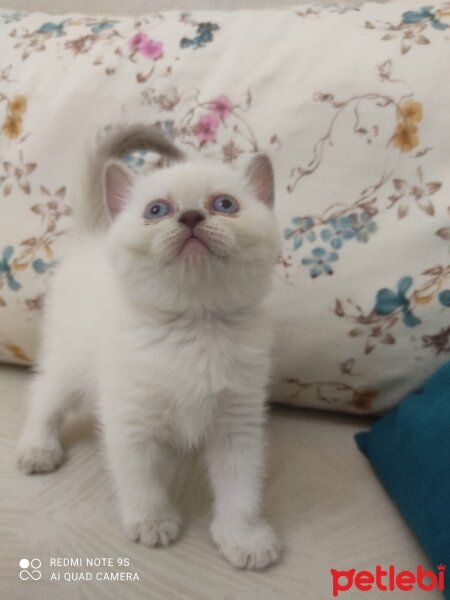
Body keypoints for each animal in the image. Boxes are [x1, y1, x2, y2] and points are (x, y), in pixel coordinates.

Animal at [18, 125, 284, 568]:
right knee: (44, 395)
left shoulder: (238, 422)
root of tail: (93, 236)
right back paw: (38, 447)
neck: (194, 327)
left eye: (224, 205)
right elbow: (137, 475)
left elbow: (240, 488)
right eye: (157, 210)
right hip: (68, 360)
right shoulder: (130, 416)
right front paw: (152, 521)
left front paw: (243, 538)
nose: (190, 216)